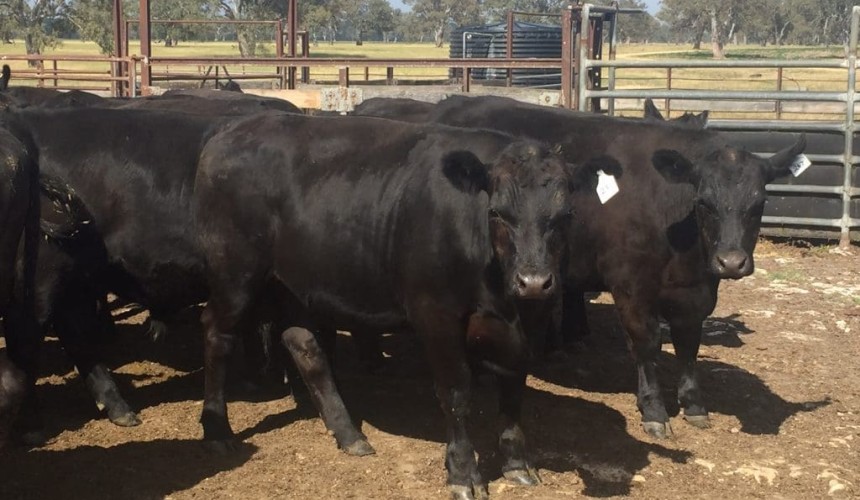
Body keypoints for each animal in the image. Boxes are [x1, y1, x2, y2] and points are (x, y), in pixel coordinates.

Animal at [193, 112, 607, 499]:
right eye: (496, 213)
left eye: (567, 215)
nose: (533, 281)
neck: (502, 298)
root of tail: (231, 131)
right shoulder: (435, 315)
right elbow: (456, 393)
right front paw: (463, 473)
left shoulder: (529, 322)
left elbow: (513, 390)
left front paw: (517, 463)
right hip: (236, 272)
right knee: (217, 333)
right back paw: (217, 430)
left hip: (294, 284)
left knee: (304, 345)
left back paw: (348, 433)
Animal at [358, 94, 806, 439]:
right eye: (705, 202)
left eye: (760, 202)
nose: (731, 261)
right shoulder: (631, 285)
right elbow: (646, 343)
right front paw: (654, 410)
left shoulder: (694, 291)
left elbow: (689, 343)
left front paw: (694, 403)